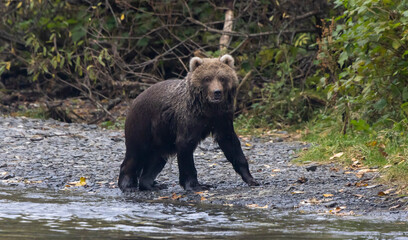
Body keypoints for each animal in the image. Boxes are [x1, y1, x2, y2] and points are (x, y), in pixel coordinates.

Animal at [118, 54, 258, 191]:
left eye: (222, 78)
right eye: (207, 78)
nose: (217, 92)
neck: (207, 108)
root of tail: (134, 100)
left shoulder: (222, 117)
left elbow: (230, 142)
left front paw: (251, 179)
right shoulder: (188, 118)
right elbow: (185, 145)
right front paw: (195, 185)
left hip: (162, 138)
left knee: (156, 159)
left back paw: (150, 185)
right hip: (142, 124)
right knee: (136, 152)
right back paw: (127, 185)